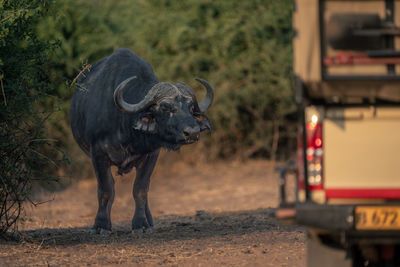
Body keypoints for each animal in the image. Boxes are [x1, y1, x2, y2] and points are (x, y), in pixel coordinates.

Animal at [69, 48, 212, 234]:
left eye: (191, 107)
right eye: (165, 107)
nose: (193, 132)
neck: (124, 127)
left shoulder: (152, 154)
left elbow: (141, 189)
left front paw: (141, 224)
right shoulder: (97, 153)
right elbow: (106, 190)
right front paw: (101, 225)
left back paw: (149, 220)